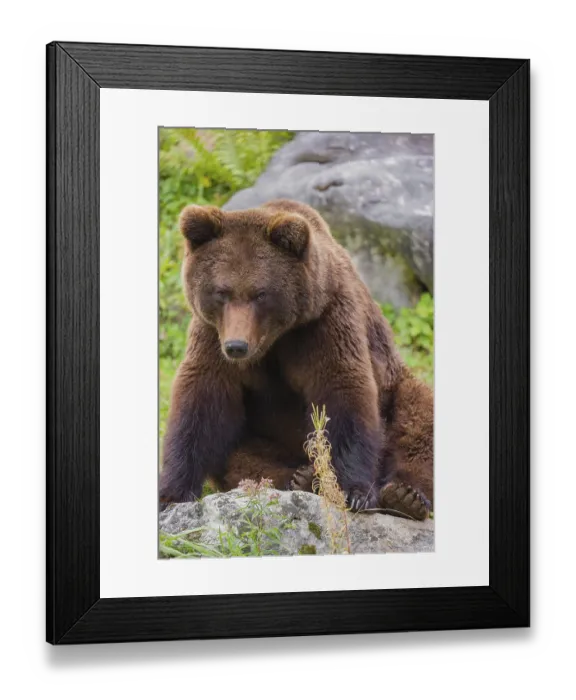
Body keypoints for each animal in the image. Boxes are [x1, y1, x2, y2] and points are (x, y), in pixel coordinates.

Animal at [159, 198, 433, 520]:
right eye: (221, 292)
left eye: (260, 293)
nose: (237, 346)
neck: (276, 337)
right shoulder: (213, 336)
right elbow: (201, 401)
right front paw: (171, 494)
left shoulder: (325, 323)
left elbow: (342, 392)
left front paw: (350, 490)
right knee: (238, 457)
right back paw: (298, 478)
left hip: (396, 384)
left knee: (418, 417)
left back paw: (405, 495)